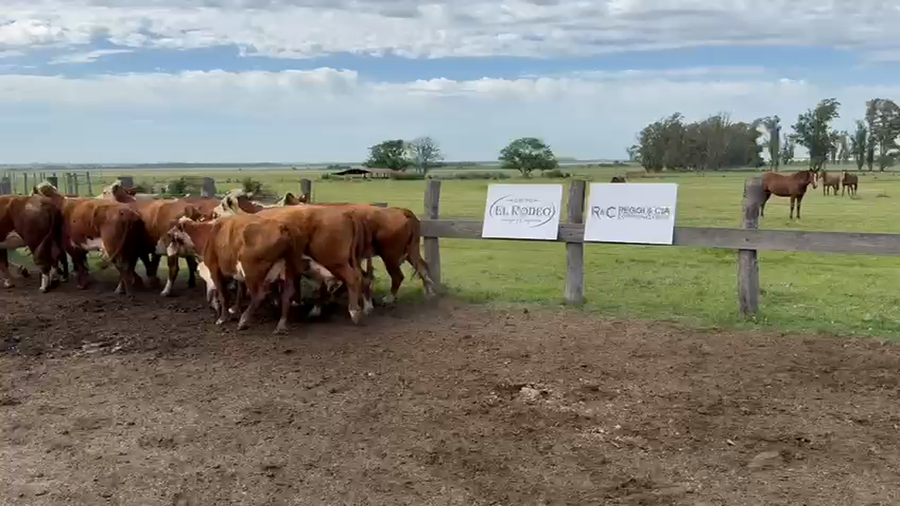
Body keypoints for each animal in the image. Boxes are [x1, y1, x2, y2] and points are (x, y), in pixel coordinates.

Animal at [165, 214, 297, 333]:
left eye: (173, 236)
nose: (168, 251)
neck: (207, 234)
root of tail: (281, 227)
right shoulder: (236, 274)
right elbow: (239, 292)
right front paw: (233, 310)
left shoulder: (214, 269)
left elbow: (224, 295)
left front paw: (223, 318)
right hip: (289, 269)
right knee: (287, 294)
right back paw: (281, 325)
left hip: (251, 272)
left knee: (259, 295)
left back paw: (243, 321)